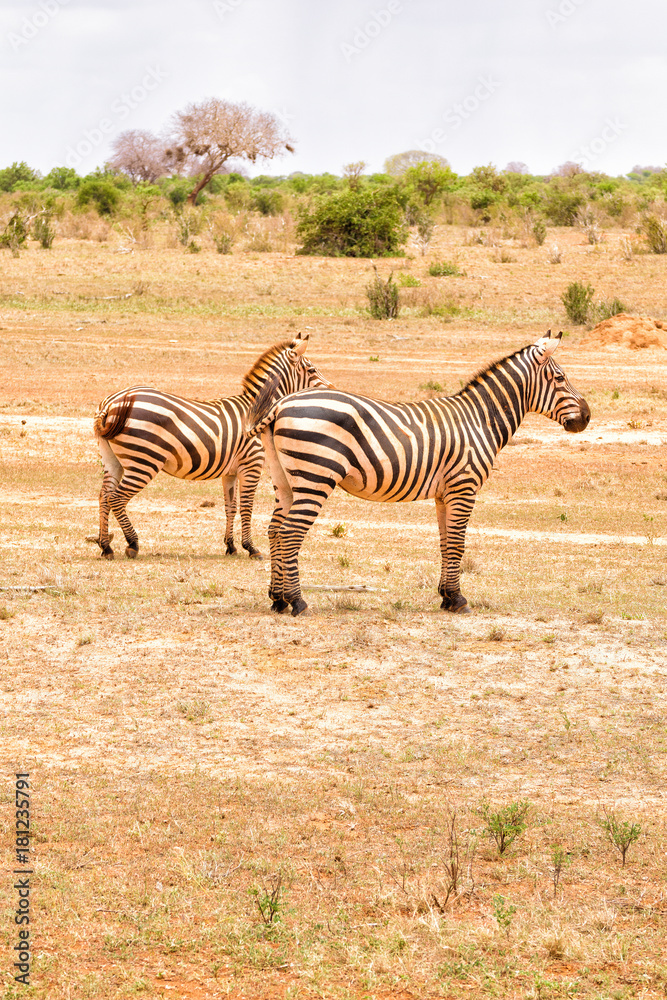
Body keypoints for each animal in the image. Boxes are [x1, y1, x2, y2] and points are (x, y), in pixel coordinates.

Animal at [93, 334, 331, 560]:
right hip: (144, 460)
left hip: (112, 459)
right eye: (312, 370)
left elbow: (230, 507)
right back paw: (132, 544)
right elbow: (246, 507)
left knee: (104, 496)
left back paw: (106, 547)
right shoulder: (252, 464)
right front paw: (251, 548)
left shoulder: (231, 472)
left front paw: (231, 546)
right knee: (116, 498)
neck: (259, 411)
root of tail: (110, 404)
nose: (332, 390)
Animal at [246, 331, 590, 616]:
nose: (587, 417)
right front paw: (458, 599)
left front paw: (446, 597)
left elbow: (445, 541)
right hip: (315, 477)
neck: (480, 420)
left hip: (285, 480)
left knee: (275, 529)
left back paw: (277, 599)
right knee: (290, 532)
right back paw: (298, 601)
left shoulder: (444, 494)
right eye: (561, 377)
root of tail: (280, 405)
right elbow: (458, 542)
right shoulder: (464, 487)